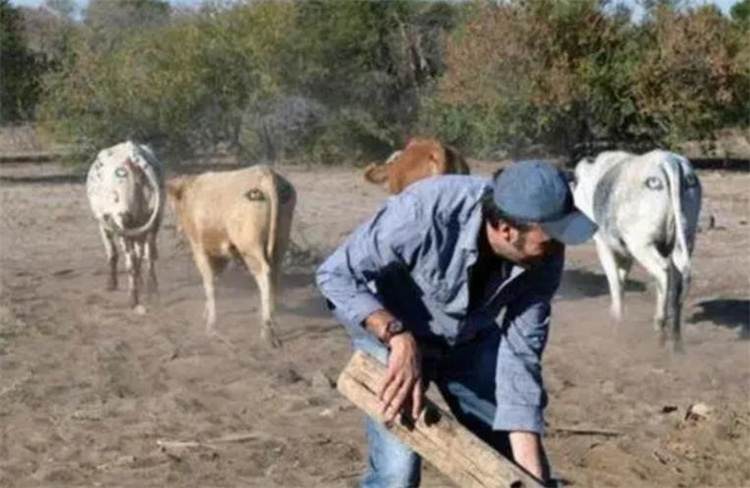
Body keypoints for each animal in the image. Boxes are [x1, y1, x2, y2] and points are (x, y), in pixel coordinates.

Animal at [87, 139, 165, 310]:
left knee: (131, 259)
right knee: (149, 254)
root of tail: (134, 155)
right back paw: (152, 290)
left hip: (122, 220)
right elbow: (141, 253)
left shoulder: (104, 224)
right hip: (154, 219)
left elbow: (112, 252)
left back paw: (132, 298)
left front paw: (111, 283)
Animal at [167, 166, 296, 346]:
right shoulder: (221, 254)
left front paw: (211, 324)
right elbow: (215, 279)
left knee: (264, 274)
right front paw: (206, 312)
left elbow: (209, 284)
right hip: (280, 242)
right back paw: (269, 315)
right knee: (276, 272)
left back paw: (267, 328)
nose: (176, 227)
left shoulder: (200, 249)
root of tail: (264, 173)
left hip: (250, 247)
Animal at [576, 150, 704, 350]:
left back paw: (660, 328)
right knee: (679, 278)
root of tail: (668, 160)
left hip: (642, 243)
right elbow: (621, 281)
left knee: (663, 272)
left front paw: (617, 323)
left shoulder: (603, 245)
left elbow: (615, 282)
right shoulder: (625, 253)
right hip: (685, 238)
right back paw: (676, 339)